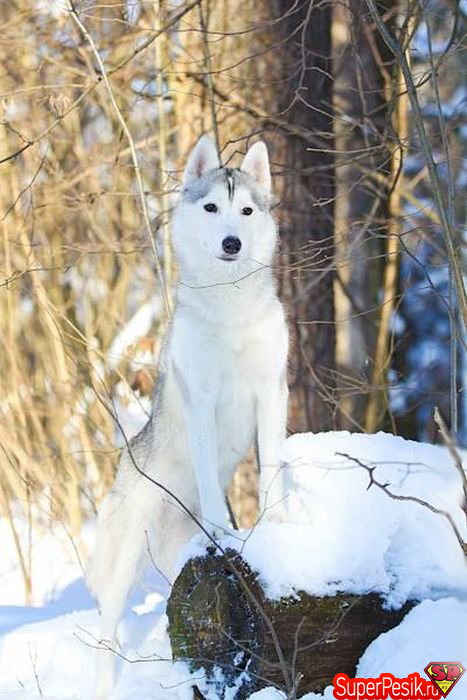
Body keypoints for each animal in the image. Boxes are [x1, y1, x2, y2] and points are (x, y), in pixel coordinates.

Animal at [88, 134, 288, 696]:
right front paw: (225, 533)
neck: (231, 308)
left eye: (246, 211)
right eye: (212, 208)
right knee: (106, 629)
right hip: (126, 552)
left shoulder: (271, 393)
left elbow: (270, 469)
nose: (231, 242)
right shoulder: (202, 398)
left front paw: (270, 526)